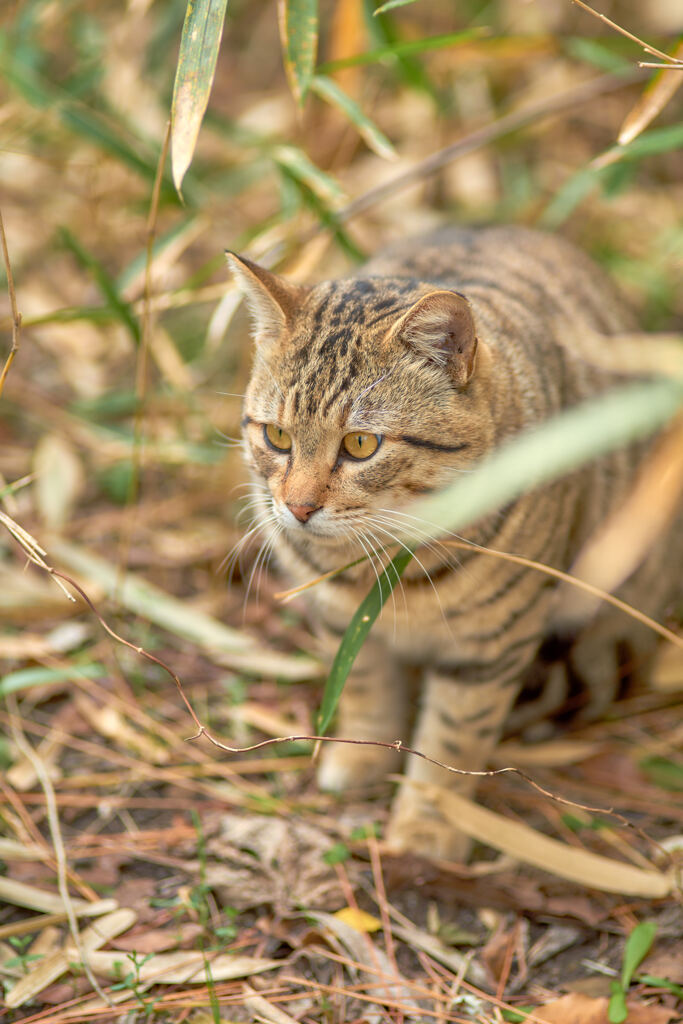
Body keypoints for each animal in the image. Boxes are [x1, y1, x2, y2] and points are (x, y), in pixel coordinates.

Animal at [227, 228, 679, 860]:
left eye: (361, 444)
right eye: (277, 436)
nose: (297, 508)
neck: (383, 564)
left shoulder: (488, 650)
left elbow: (451, 742)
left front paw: (426, 826)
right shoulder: (345, 623)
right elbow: (365, 692)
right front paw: (359, 758)